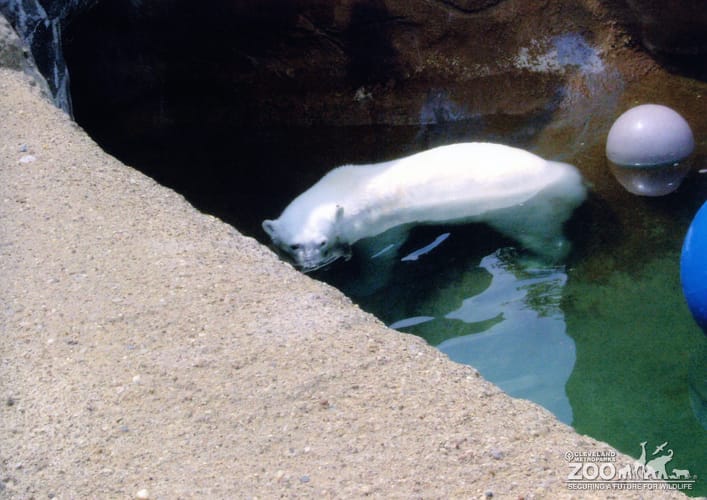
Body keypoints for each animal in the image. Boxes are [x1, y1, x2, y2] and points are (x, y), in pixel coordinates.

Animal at [262, 142, 586, 272]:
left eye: (322, 242)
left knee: (544, 238)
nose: (312, 264)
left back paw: (532, 261)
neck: (343, 187)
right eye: (293, 245)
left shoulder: (379, 227)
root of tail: (572, 180)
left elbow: (380, 256)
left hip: (523, 209)